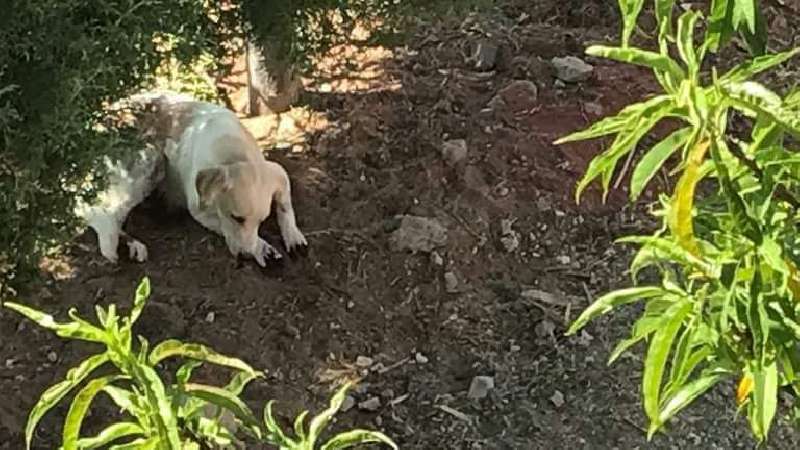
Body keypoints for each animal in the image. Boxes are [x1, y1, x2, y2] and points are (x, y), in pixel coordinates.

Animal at [79, 92, 306, 268]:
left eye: (262, 221)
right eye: (236, 218)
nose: (246, 256)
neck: (233, 153)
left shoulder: (277, 172)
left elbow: (285, 205)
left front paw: (293, 236)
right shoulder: (199, 211)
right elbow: (225, 227)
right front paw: (262, 247)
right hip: (150, 158)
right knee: (103, 213)